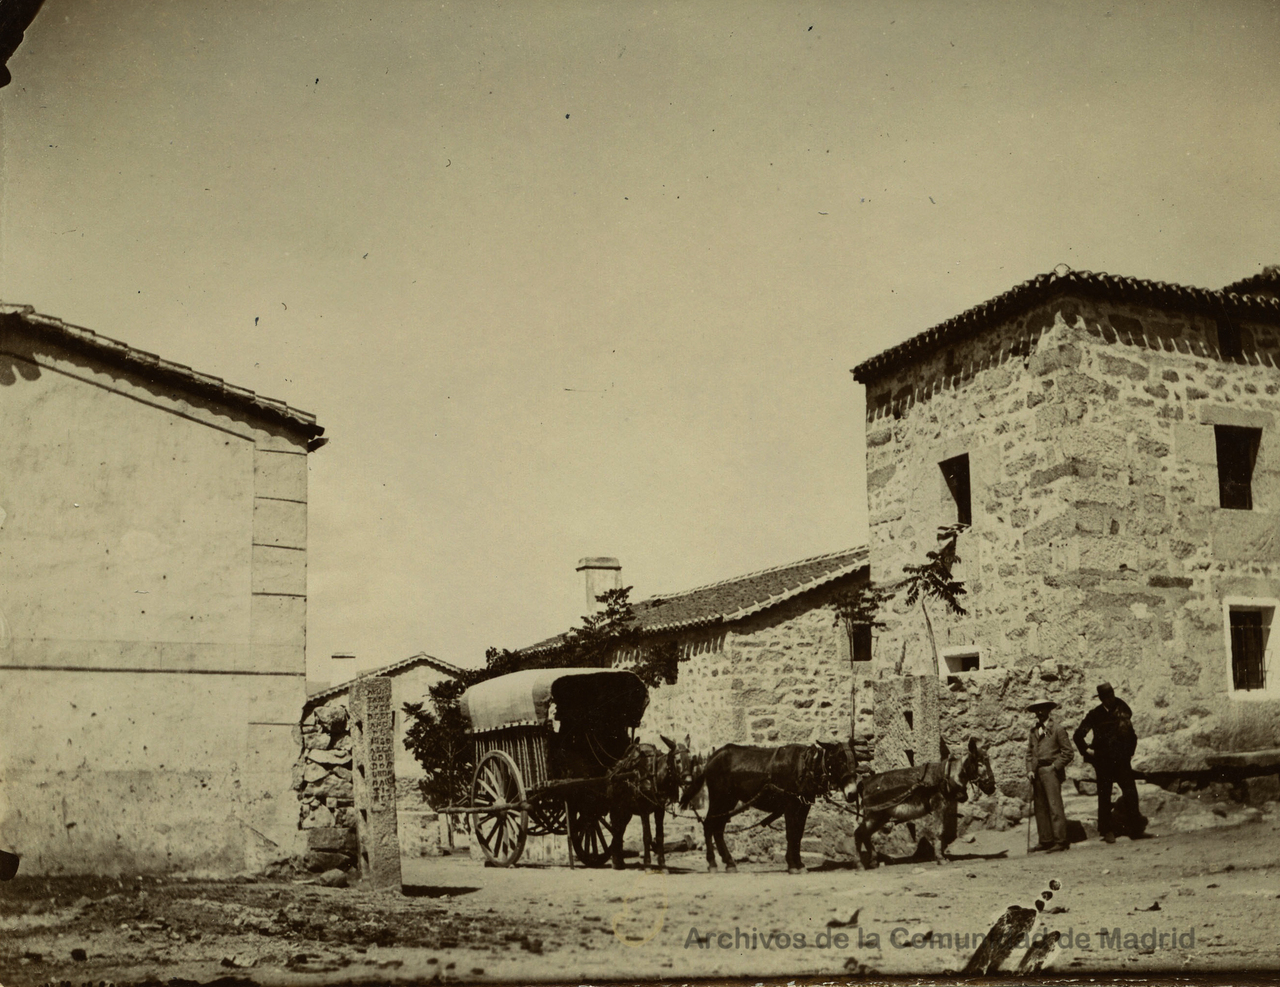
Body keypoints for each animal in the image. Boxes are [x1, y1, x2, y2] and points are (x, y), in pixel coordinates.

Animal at [605, 734, 694, 870]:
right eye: (678, 760)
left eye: (691, 760)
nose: (688, 781)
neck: (654, 776)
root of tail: (613, 772)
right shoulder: (643, 809)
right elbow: (646, 836)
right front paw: (647, 863)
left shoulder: (659, 809)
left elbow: (660, 836)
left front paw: (662, 864)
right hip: (616, 807)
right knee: (616, 830)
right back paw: (616, 861)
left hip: (626, 811)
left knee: (620, 830)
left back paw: (619, 861)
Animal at [679, 739, 858, 875]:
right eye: (840, 760)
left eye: (855, 761)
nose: (852, 794)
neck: (806, 765)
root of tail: (712, 758)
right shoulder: (790, 805)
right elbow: (791, 834)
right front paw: (793, 865)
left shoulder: (803, 806)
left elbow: (798, 835)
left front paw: (799, 864)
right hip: (720, 798)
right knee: (709, 825)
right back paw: (712, 863)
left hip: (729, 800)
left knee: (718, 828)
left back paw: (729, 863)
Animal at [851, 737, 996, 869]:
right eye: (980, 764)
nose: (992, 788)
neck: (947, 775)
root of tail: (864, 783)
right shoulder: (939, 806)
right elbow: (939, 832)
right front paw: (940, 859)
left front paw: (942, 857)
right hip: (874, 815)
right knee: (859, 833)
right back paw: (859, 864)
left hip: (881, 817)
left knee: (865, 834)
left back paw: (873, 862)